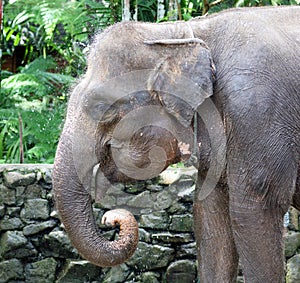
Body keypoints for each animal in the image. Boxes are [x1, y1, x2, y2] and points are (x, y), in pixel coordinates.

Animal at [53, 5, 300, 282]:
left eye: (100, 107)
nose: (110, 219)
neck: (178, 33)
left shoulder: (256, 110)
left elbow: (254, 208)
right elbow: (209, 215)